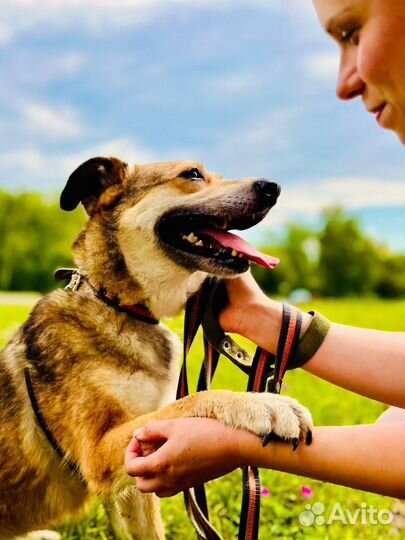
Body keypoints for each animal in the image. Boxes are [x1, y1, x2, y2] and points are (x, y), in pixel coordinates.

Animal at [0, 157, 312, 540]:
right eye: (193, 174)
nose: (273, 188)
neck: (118, 306)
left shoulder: (139, 467)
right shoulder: (100, 451)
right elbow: (190, 401)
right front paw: (260, 403)